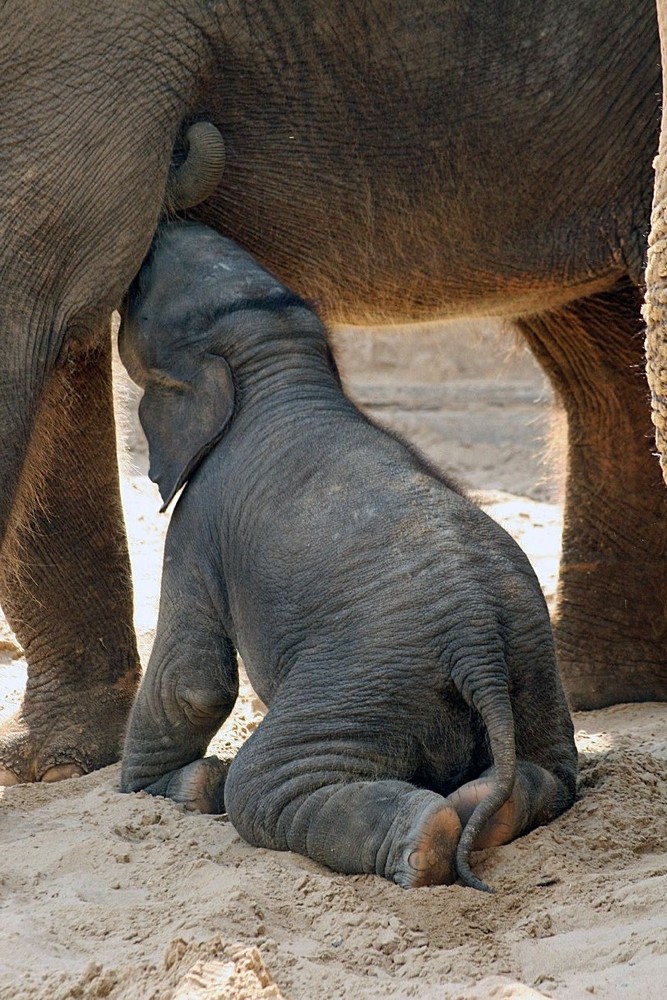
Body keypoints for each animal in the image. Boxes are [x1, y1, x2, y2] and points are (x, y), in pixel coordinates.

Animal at [117, 221, 576, 892]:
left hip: (363, 684)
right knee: (550, 771)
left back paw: (424, 842)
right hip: (534, 668)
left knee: (265, 782)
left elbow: (193, 680)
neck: (276, 354)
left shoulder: (195, 526)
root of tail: (478, 646)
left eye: (140, 288)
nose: (164, 225)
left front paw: (145, 791)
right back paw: (487, 811)